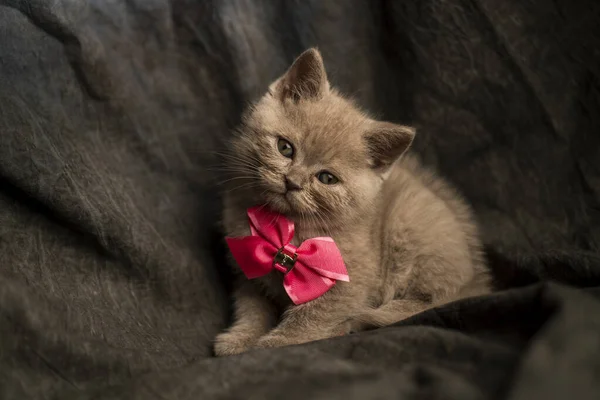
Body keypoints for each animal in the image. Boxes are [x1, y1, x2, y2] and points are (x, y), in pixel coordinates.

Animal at [213, 47, 490, 356]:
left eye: (327, 178)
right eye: (285, 148)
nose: (292, 182)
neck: (283, 226)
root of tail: (476, 280)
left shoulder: (353, 280)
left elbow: (313, 314)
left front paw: (275, 343)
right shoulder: (247, 269)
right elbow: (251, 308)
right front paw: (240, 339)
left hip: (413, 233)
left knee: (429, 301)